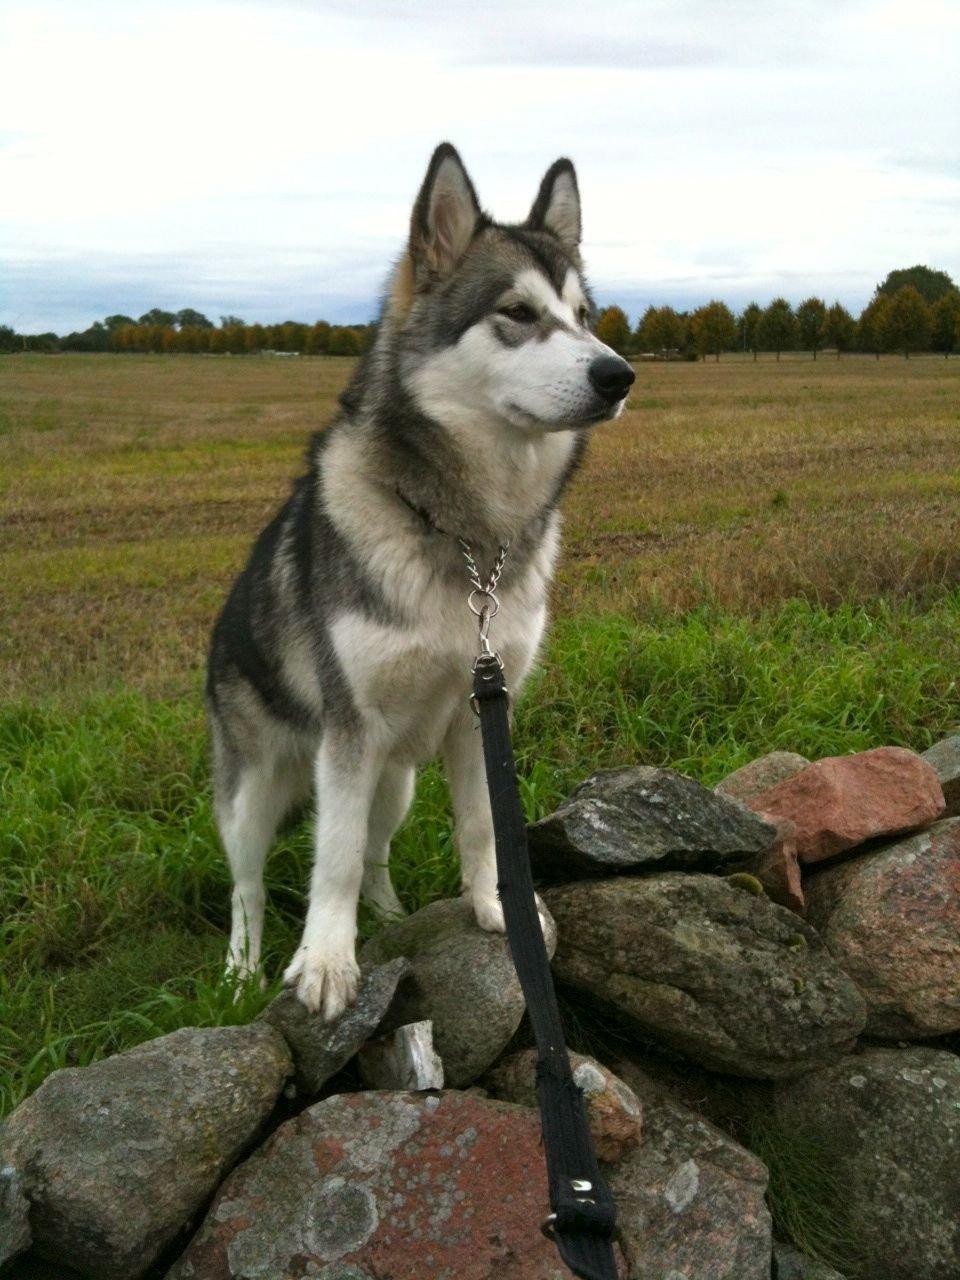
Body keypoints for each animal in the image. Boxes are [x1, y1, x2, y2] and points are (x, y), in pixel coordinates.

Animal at [207, 140, 634, 1018]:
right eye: (518, 312)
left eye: (586, 316)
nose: (619, 376)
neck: (466, 536)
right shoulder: (350, 729)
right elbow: (329, 856)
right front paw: (325, 961)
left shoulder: (479, 714)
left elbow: (480, 826)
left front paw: (495, 906)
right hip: (256, 784)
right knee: (250, 884)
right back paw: (242, 968)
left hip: (395, 779)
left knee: (374, 852)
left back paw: (387, 914)